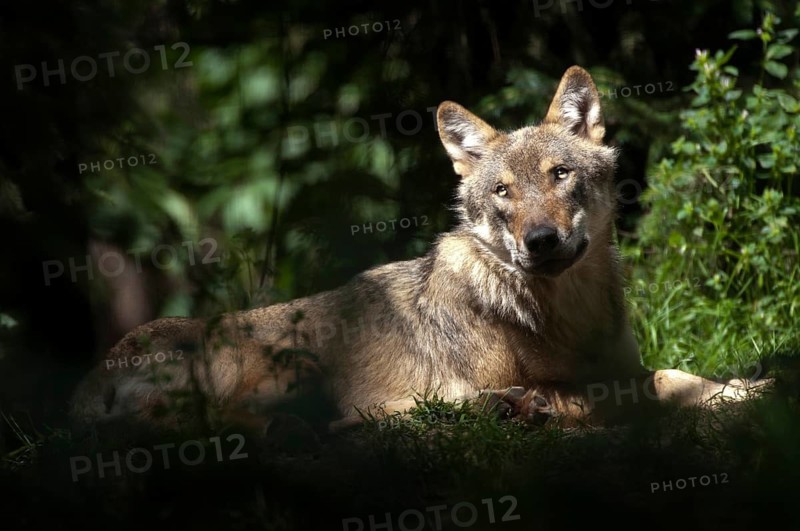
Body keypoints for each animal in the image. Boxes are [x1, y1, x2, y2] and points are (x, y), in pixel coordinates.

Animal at [70, 66, 762, 437]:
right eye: (504, 191)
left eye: (560, 174)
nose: (539, 241)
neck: (566, 314)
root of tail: (90, 377)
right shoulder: (584, 385)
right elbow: (666, 382)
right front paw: (746, 394)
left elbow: (686, 373)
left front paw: (746, 384)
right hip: (257, 362)